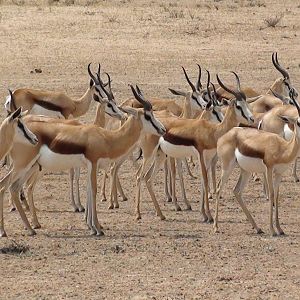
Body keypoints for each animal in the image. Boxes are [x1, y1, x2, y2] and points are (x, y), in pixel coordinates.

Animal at [0, 84, 165, 237]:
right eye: (148, 116)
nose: (163, 129)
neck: (107, 138)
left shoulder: (90, 166)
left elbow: (89, 191)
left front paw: (91, 226)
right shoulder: (93, 163)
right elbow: (93, 191)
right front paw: (97, 228)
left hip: (31, 167)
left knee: (14, 187)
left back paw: (30, 228)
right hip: (22, 166)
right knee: (7, 186)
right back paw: (13, 230)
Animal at [214, 92, 300, 236]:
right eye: (298, 121)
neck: (283, 148)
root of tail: (227, 134)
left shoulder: (279, 173)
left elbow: (276, 196)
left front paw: (280, 229)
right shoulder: (269, 170)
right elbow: (271, 194)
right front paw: (272, 230)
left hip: (246, 171)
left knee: (237, 191)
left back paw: (258, 228)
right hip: (227, 167)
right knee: (219, 188)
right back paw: (215, 227)